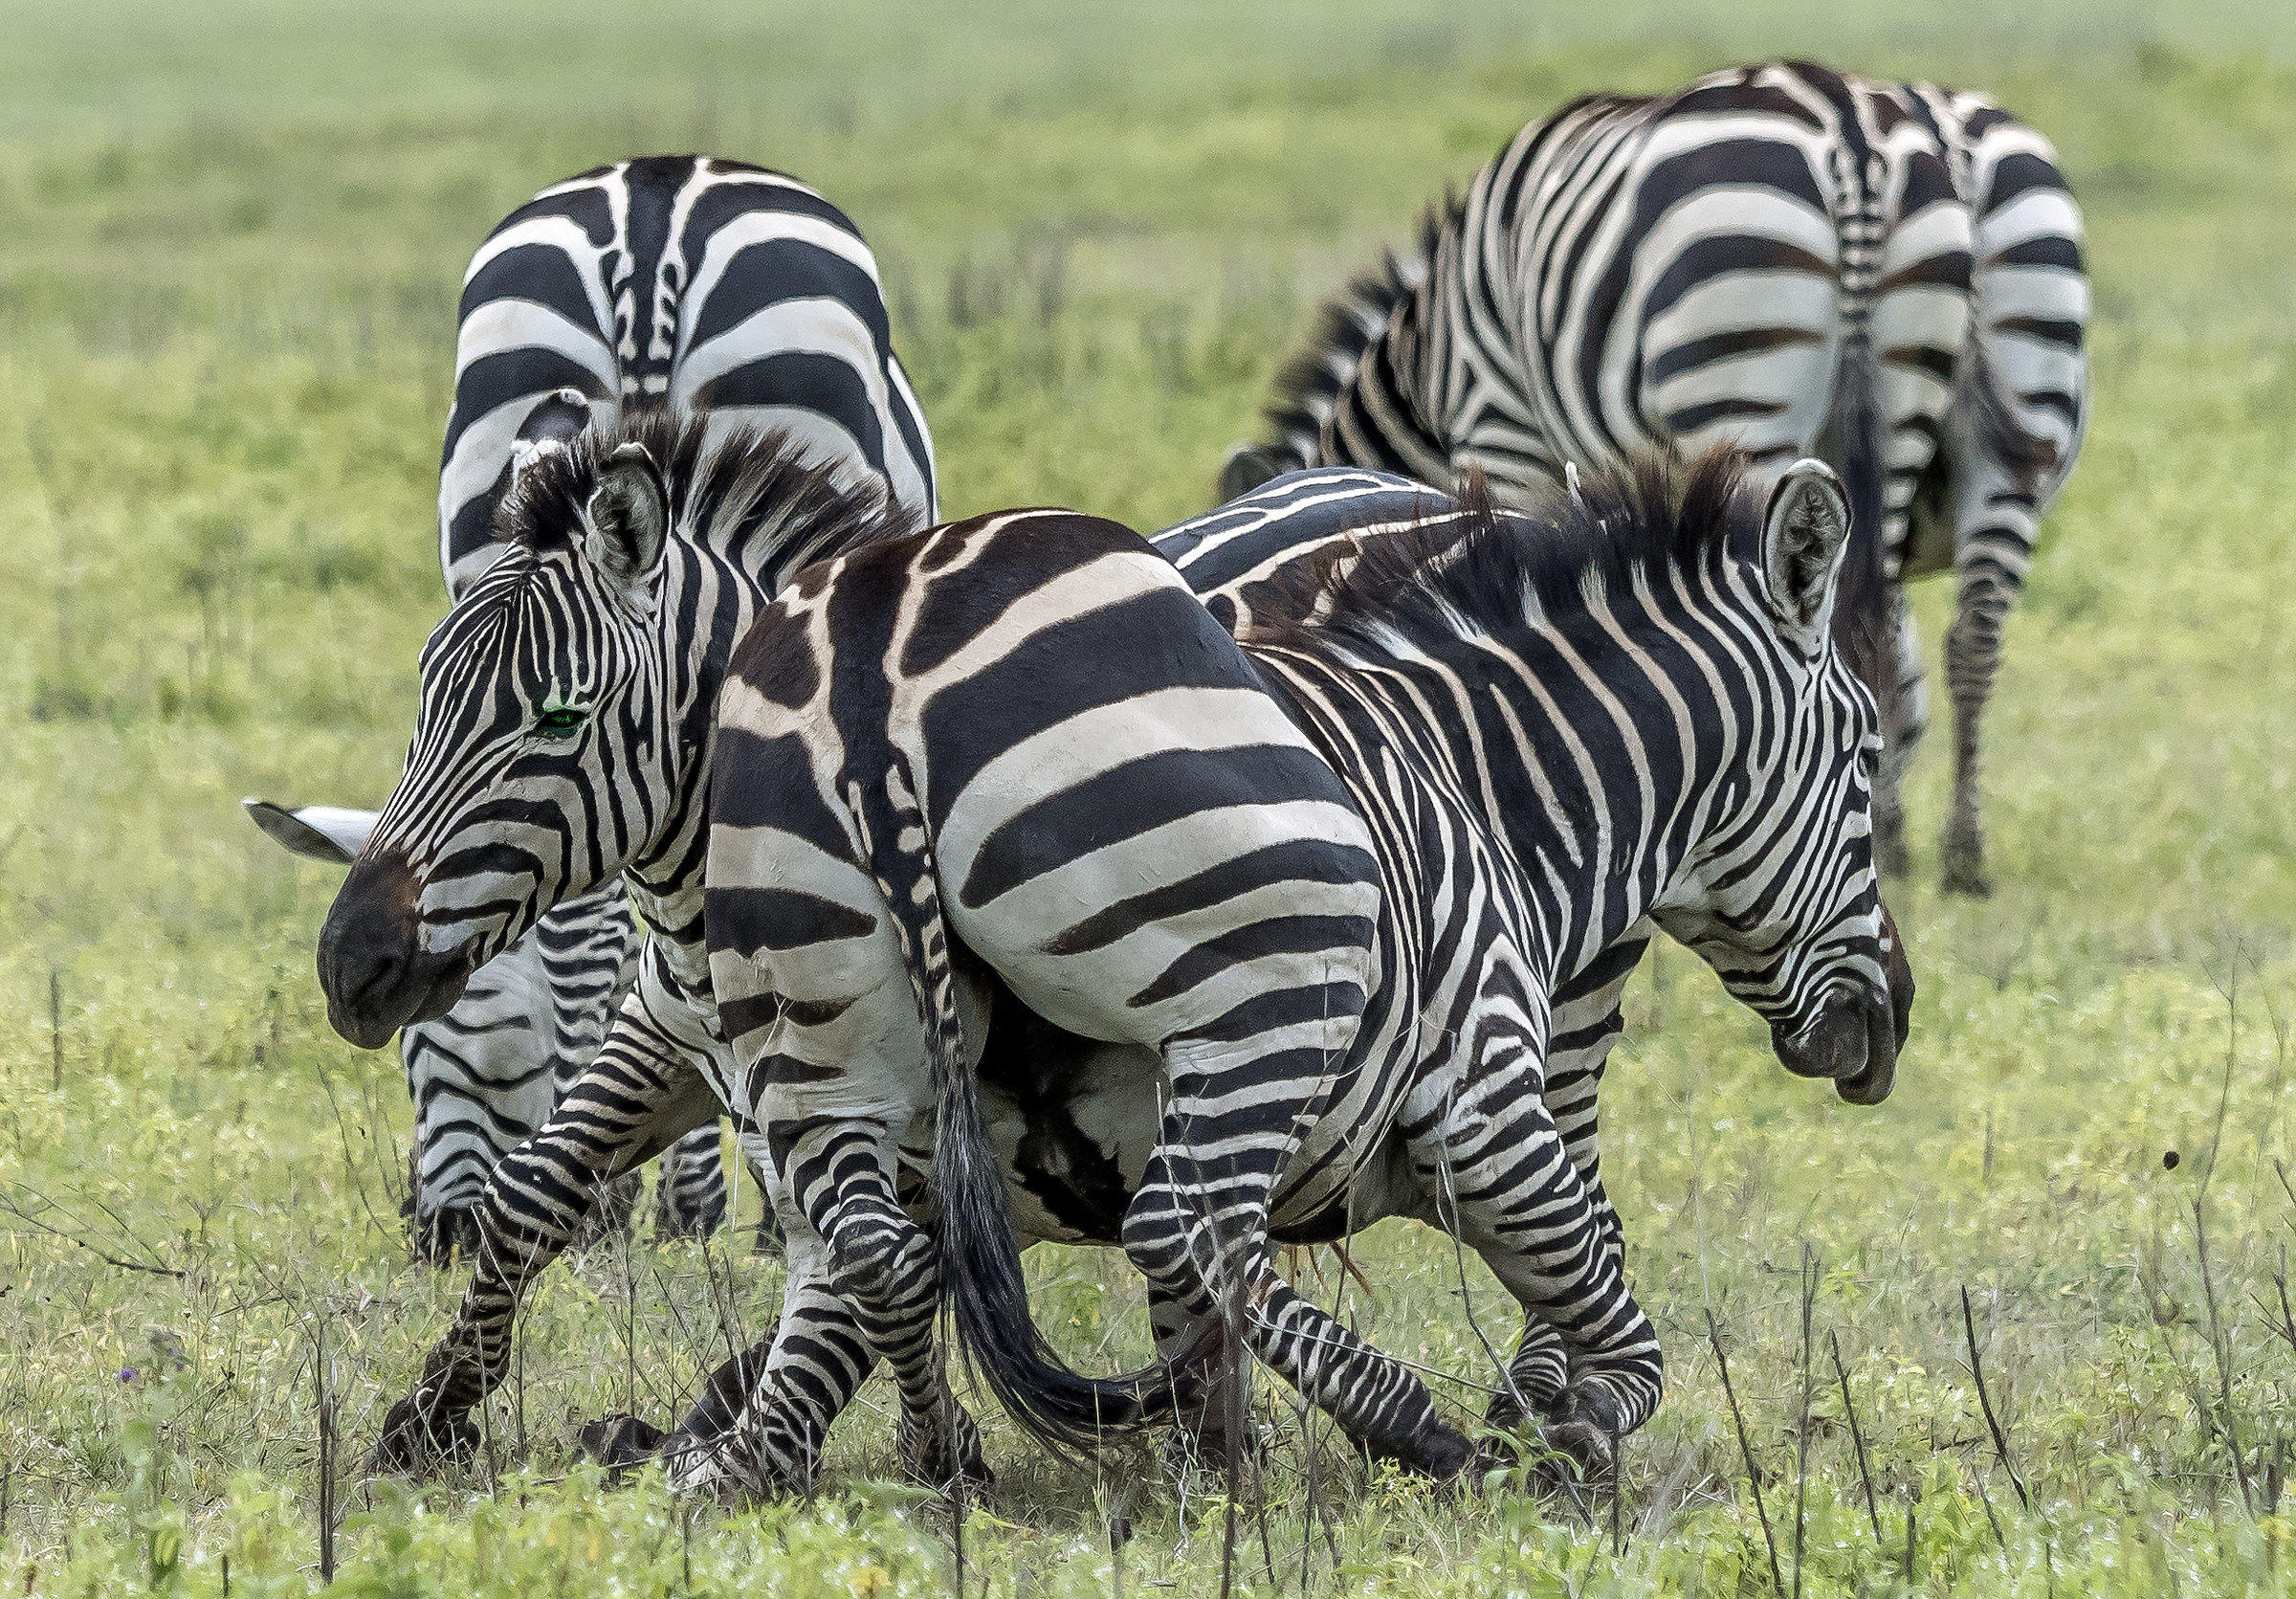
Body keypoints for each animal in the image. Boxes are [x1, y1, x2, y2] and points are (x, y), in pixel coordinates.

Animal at [349, 420, 1908, 1490]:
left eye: (548, 716)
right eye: (1870, 759)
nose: (351, 960)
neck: (1472, 761)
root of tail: (872, 664)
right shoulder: (1474, 1097)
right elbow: (1616, 1320)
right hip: (1269, 990)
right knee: (1190, 1223)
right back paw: (1420, 1423)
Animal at [1222, 61, 2090, 895]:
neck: (1427, 352)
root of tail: (1857, 136)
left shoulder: (1499, 424)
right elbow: (1900, 662)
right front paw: (1891, 822)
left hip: (1741, 369)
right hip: (2005, 409)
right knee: (1964, 634)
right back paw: (1961, 855)